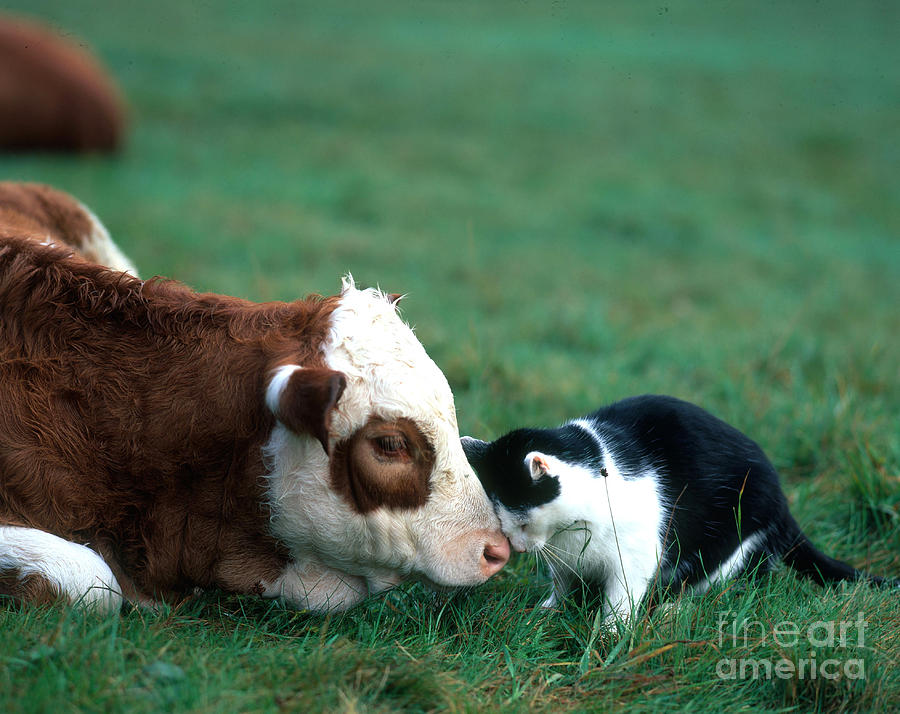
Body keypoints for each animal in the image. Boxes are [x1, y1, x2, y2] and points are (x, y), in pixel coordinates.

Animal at [464, 392, 892, 620]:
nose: (516, 547)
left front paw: (610, 636)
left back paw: (674, 609)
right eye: (500, 522)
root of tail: (784, 503)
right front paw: (549, 610)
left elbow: (620, 601)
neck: (570, 530)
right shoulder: (564, 558)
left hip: (734, 540)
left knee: (728, 582)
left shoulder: (635, 556)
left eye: (520, 521)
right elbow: (563, 584)